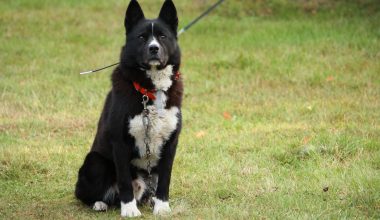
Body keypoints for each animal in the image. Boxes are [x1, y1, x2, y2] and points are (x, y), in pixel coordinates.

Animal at [75, 0, 182, 217]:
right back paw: (100, 203)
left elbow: (165, 179)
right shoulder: (120, 142)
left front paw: (162, 207)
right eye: (141, 37)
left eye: (162, 36)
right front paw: (130, 210)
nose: (153, 48)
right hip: (95, 162)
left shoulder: (170, 143)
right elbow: (124, 181)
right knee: (86, 194)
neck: (151, 90)